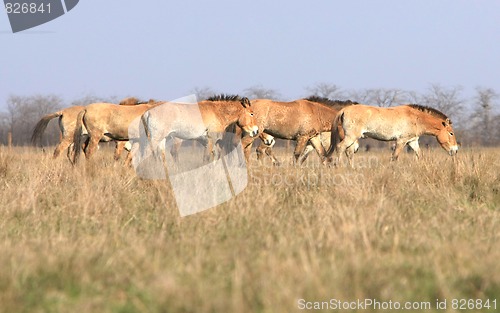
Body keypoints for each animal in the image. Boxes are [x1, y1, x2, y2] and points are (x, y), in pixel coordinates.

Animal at [326, 103, 458, 166]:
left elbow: (420, 155)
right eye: (451, 133)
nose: (455, 150)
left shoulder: (412, 141)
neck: (416, 118)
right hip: (351, 137)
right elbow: (394, 157)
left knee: (348, 152)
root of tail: (343, 110)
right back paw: (338, 166)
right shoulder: (401, 141)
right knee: (340, 148)